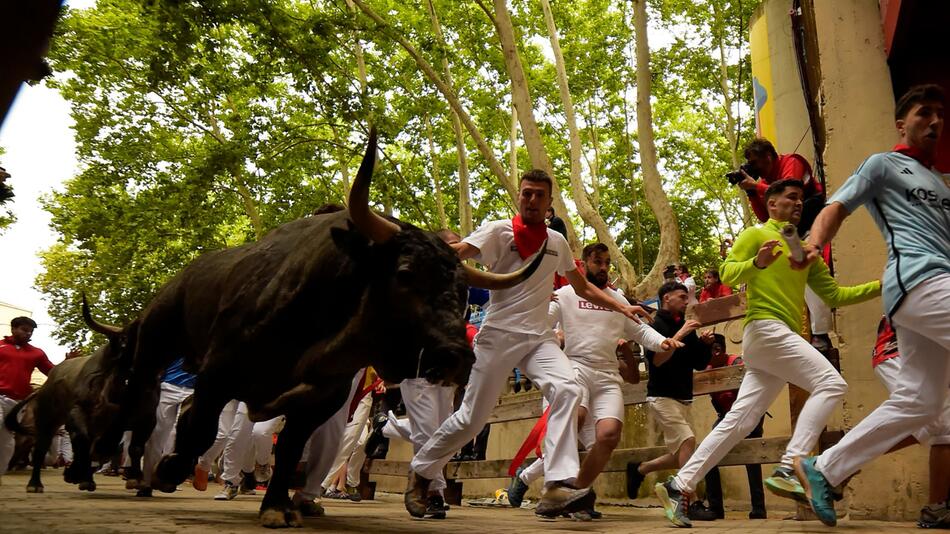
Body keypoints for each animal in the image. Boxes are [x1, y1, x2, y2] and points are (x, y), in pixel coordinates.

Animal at [3, 298, 133, 494]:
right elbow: (84, 441)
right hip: (47, 420)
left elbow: (104, 446)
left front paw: (82, 475)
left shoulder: (116, 420)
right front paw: (74, 473)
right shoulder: (76, 411)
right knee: (40, 449)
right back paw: (35, 484)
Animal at [107, 130, 540, 528]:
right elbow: (202, 427)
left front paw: (277, 505)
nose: (457, 357)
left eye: (464, 292)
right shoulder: (218, 372)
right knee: (147, 408)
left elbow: (289, 448)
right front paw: (170, 470)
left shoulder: (321, 398)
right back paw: (138, 473)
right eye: (404, 274)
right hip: (155, 344)